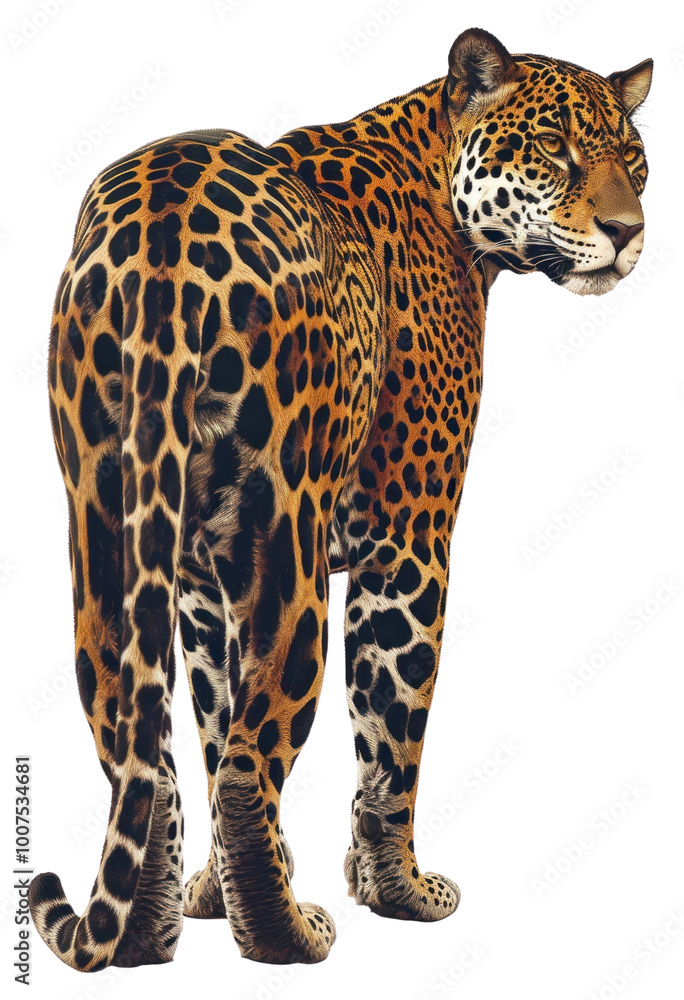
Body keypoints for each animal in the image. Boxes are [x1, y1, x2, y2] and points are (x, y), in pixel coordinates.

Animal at [29, 27, 652, 971]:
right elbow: (392, 734)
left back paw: (145, 934)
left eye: (635, 159)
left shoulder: (199, 583)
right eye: (554, 148)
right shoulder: (410, 540)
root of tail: (162, 221)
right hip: (285, 536)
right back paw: (288, 934)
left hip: (103, 530)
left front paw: (209, 896)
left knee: (142, 748)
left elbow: (210, 716)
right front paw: (398, 893)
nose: (629, 231)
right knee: (250, 760)